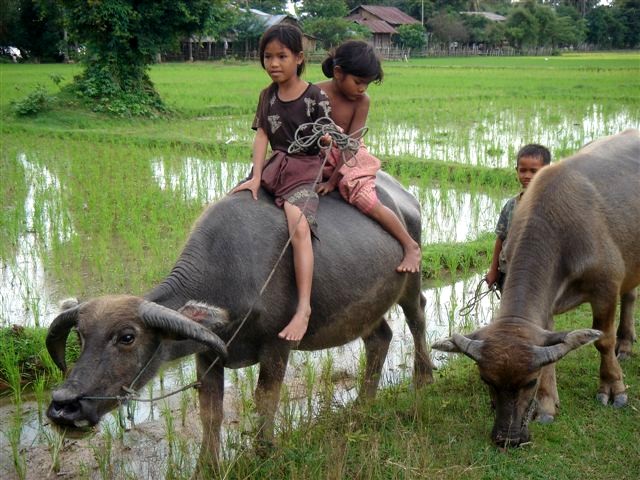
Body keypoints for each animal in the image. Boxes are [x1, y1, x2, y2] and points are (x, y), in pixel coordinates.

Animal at [45, 172, 436, 472]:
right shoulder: (207, 355)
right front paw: (207, 466)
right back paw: (363, 404)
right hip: (365, 308)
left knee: (417, 317)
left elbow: (265, 399)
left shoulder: (278, 346)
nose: (64, 405)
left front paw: (265, 451)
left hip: (411, 282)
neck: (229, 273)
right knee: (380, 338)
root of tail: (406, 199)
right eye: (80, 336)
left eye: (127, 337)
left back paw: (424, 377)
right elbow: (210, 412)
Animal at [432, 127, 636, 446]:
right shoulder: (546, 309)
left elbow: (603, 340)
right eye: (486, 381)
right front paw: (547, 406)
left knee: (628, 299)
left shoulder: (606, 287)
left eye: (528, 382)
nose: (507, 438)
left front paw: (613, 389)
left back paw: (625, 345)